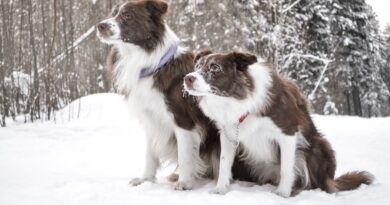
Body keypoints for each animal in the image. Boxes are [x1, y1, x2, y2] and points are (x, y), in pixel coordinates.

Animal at [96, 0, 222, 190]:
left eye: (127, 15)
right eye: (113, 13)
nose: (100, 26)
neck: (153, 63)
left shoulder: (183, 120)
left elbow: (185, 154)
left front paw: (184, 183)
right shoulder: (151, 118)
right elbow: (150, 153)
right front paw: (145, 179)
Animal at [184, 50, 374, 197]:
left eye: (215, 67)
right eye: (197, 67)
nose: (188, 78)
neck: (237, 100)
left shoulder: (288, 132)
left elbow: (286, 167)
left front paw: (282, 194)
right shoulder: (228, 134)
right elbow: (224, 163)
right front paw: (220, 190)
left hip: (319, 146)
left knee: (316, 182)